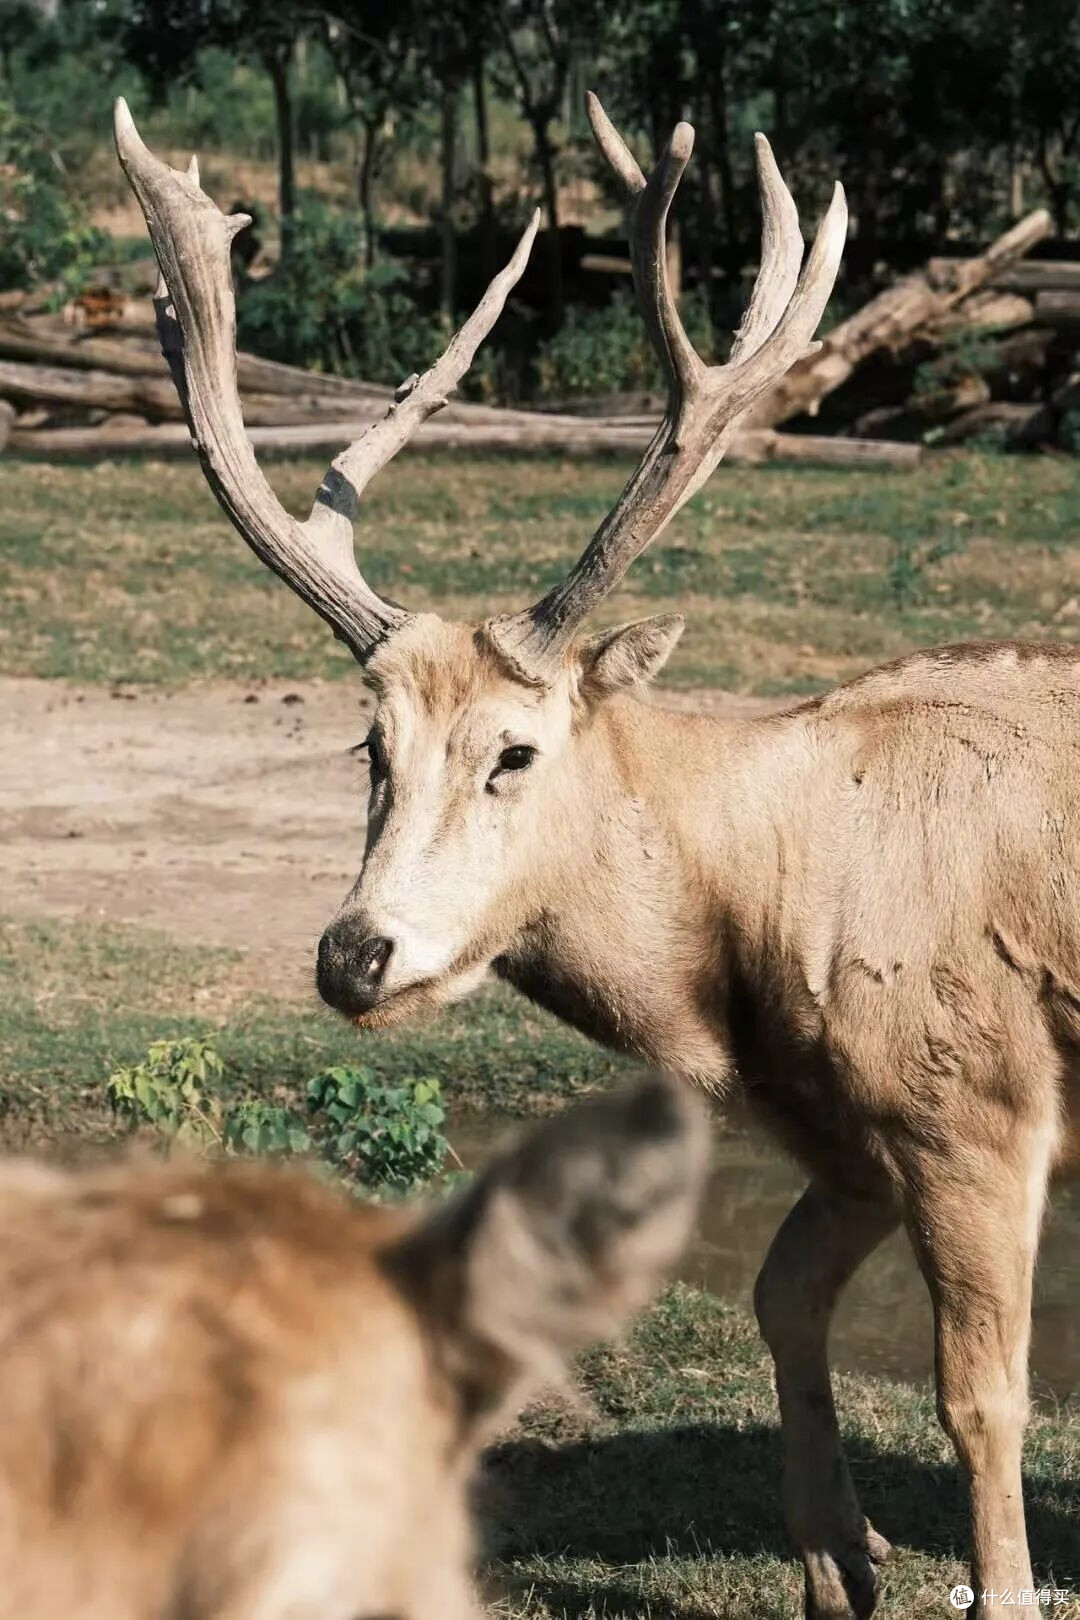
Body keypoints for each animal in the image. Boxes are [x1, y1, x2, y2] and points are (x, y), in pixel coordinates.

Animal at [113, 92, 1080, 1620]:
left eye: (514, 751)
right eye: (369, 747)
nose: (353, 952)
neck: (747, 977)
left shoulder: (976, 1104)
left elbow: (982, 1397)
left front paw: (987, 1585)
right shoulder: (846, 1128)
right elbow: (780, 1294)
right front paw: (840, 1564)